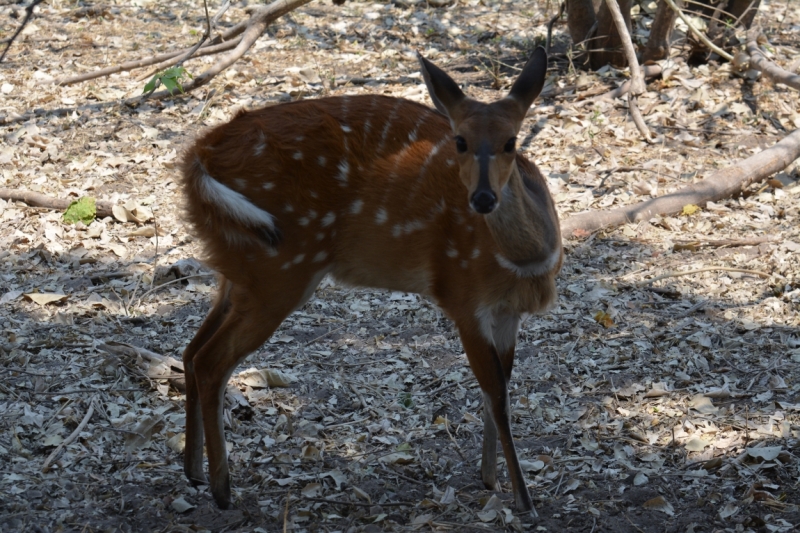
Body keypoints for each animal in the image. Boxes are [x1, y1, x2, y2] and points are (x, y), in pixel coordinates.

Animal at [180, 46, 564, 516]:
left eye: (511, 141)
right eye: (460, 141)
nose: (483, 198)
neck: (524, 258)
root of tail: (198, 157)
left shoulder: (508, 313)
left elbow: (500, 390)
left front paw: (490, 479)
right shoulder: (462, 300)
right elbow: (497, 395)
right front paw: (524, 499)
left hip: (236, 268)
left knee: (191, 351)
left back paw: (193, 471)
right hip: (279, 269)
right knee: (211, 360)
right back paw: (222, 489)